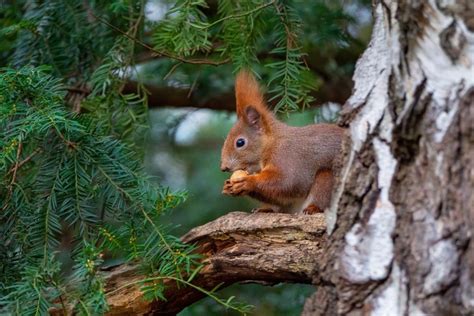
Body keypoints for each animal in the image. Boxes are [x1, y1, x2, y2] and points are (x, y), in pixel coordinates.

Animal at [220, 71, 342, 215]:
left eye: (240, 142)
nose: (224, 167)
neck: (272, 144)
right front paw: (228, 186)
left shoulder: (288, 157)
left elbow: (288, 182)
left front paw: (248, 182)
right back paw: (265, 209)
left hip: (328, 178)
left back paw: (313, 208)